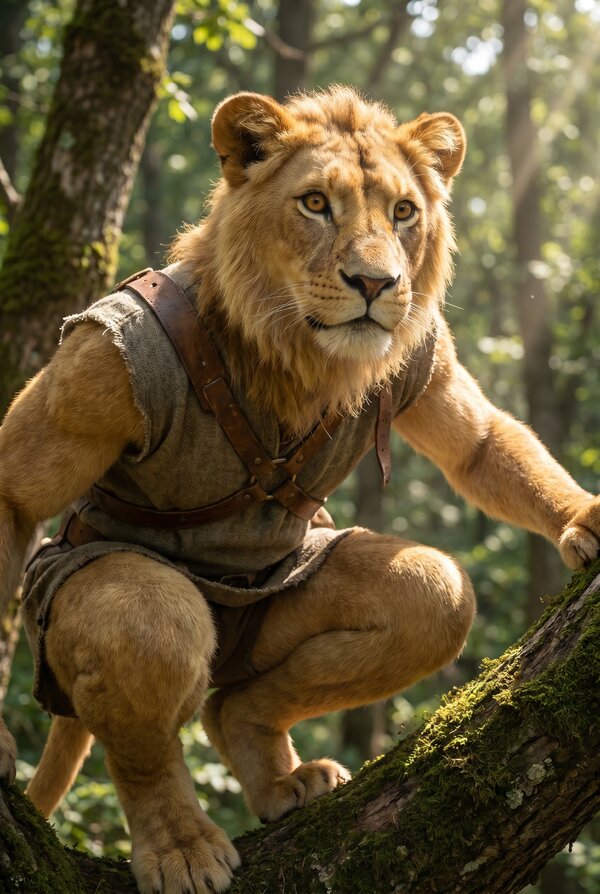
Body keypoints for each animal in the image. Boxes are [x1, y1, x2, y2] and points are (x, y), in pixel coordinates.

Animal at [0, 87, 598, 894]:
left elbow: (480, 445)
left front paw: (586, 516)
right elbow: (18, 495)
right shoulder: (106, 362)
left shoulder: (423, 349)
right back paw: (182, 847)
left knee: (417, 600)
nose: (376, 285)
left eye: (403, 212)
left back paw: (271, 763)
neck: (295, 356)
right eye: (316, 203)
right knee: (147, 632)